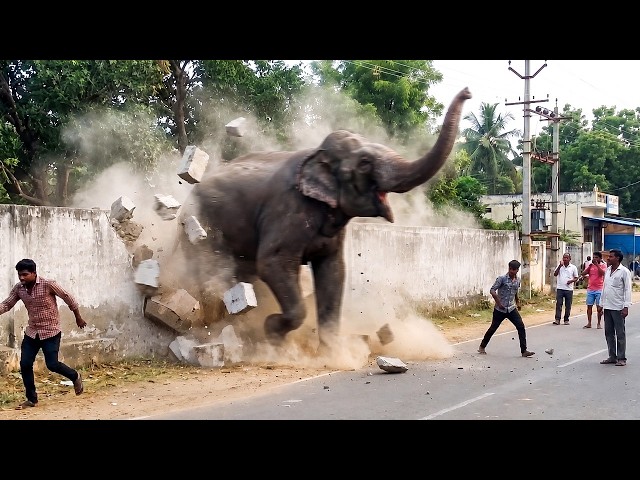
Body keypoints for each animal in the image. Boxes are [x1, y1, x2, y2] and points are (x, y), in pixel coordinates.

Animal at [188, 87, 472, 351]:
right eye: (365, 163)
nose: (468, 92)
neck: (316, 154)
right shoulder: (287, 209)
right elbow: (272, 262)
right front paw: (272, 332)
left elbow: (334, 271)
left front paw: (332, 353)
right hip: (199, 230)